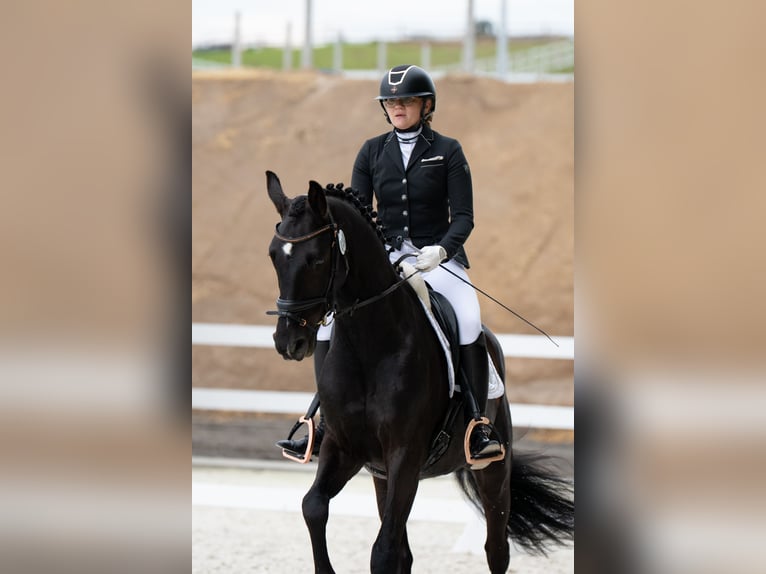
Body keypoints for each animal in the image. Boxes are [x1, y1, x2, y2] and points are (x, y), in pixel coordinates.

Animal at [265, 171, 573, 574]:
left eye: (316, 259)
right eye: (273, 255)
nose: (288, 341)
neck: (371, 346)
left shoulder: (405, 456)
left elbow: (382, 552)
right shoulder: (343, 447)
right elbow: (313, 507)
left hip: (492, 470)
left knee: (496, 549)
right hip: (380, 475)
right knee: (405, 551)